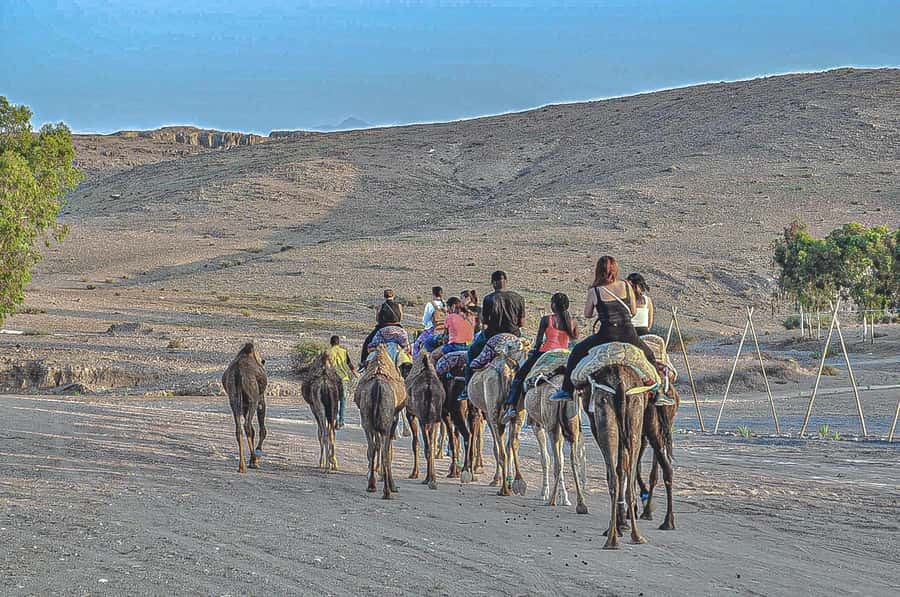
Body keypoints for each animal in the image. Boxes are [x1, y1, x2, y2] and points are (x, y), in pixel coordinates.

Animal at [221, 342, 268, 474]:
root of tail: (238, 373)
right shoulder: (260, 398)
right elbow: (262, 430)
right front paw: (256, 454)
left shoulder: (243, 405)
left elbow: (253, 430)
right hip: (253, 399)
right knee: (247, 426)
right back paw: (254, 461)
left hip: (234, 400)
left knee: (239, 429)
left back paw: (242, 466)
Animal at [355, 343, 408, 499]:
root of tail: (377, 386)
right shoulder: (393, 419)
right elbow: (388, 449)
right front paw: (391, 483)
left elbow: (377, 445)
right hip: (385, 422)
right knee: (384, 450)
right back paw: (388, 490)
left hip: (367, 420)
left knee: (372, 447)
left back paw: (371, 485)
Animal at [405, 352, 446, 489]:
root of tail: (429, 387)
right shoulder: (434, 420)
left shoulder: (411, 414)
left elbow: (416, 443)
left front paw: (414, 474)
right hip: (434, 417)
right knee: (431, 446)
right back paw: (432, 479)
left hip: (423, 418)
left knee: (427, 447)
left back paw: (429, 479)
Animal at [465, 334, 529, 496]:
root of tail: (506, 369)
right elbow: (509, 445)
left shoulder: (486, 413)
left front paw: (495, 479)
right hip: (518, 414)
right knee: (513, 444)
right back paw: (518, 483)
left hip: (492, 411)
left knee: (501, 449)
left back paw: (504, 489)